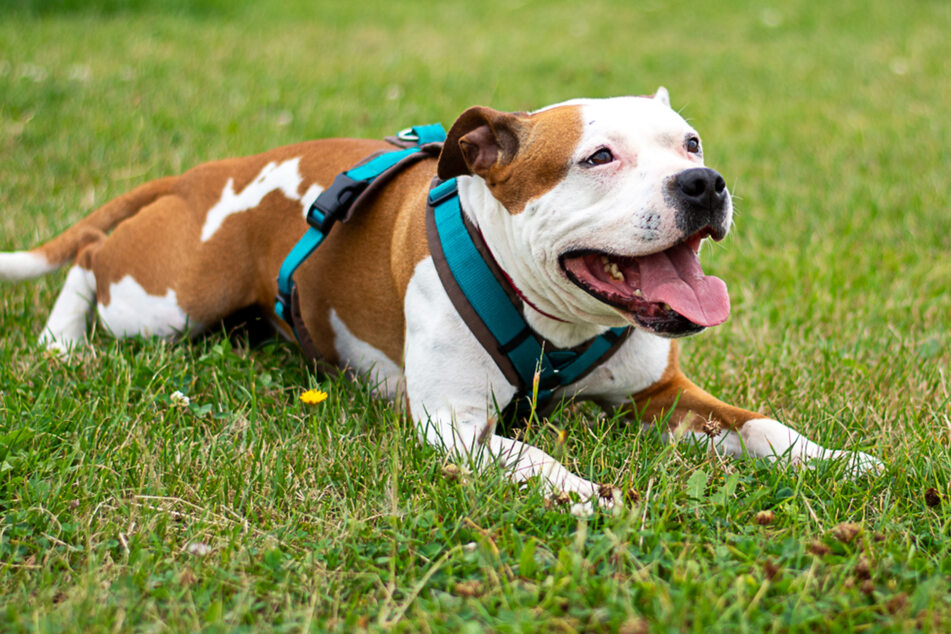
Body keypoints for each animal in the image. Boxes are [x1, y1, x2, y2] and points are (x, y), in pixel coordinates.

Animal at [0, 89, 880, 512]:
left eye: (689, 142)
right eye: (597, 157)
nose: (704, 182)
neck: (558, 322)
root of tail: (207, 170)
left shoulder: (661, 393)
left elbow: (761, 427)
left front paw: (837, 461)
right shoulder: (454, 425)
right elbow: (530, 455)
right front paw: (584, 494)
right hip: (167, 301)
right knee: (89, 260)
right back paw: (60, 343)